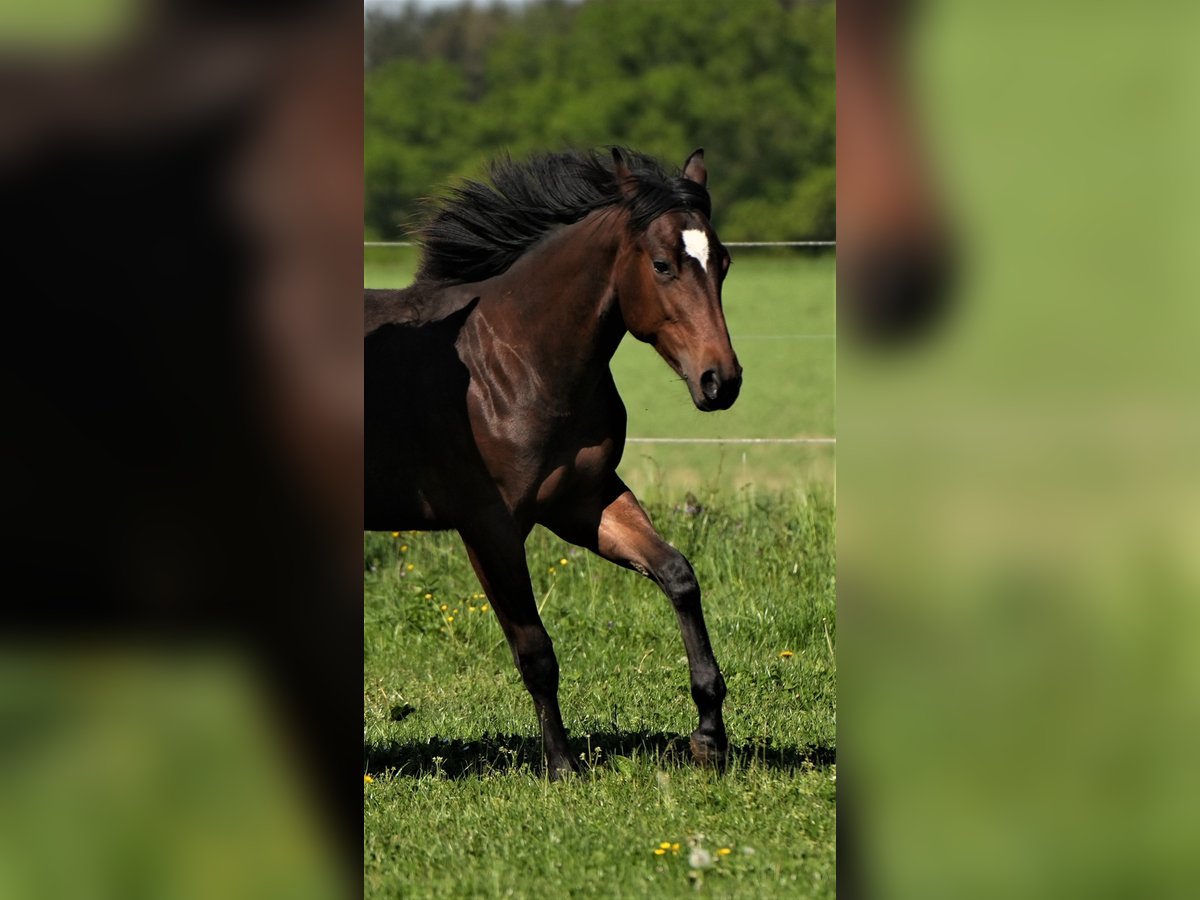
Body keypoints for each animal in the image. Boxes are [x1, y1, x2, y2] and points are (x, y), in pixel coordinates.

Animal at [362, 146, 739, 777]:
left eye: (724, 263)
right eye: (663, 264)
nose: (721, 381)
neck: (515, 360)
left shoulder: (582, 501)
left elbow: (677, 575)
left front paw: (709, 737)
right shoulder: (489, 525)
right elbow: (535, 649)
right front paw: (562, 766)